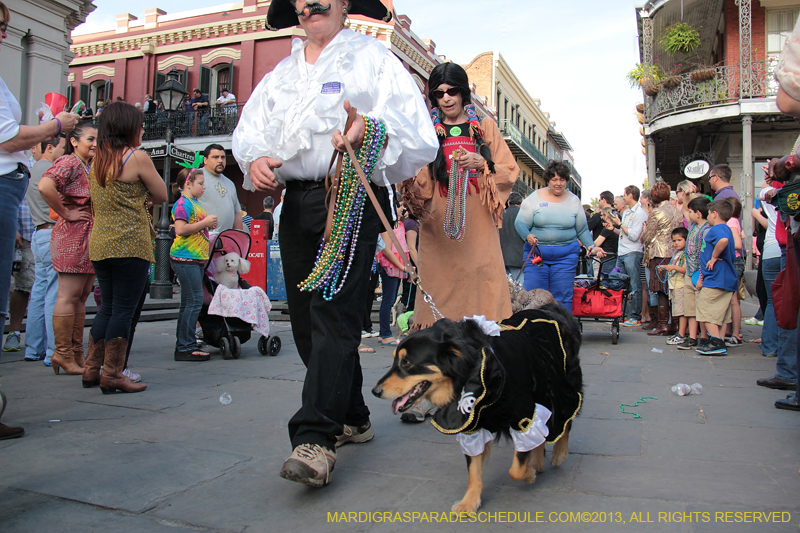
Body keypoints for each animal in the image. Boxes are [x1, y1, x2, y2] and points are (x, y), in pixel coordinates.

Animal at [372, 304, 584, 512]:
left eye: (407, 362)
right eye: (394, 361)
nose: (375, 391)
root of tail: (552, 309)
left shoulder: (524, 417)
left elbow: (516, 469)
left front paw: (529, 473)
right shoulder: (470, 425)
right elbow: (474, 469)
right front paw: (469, 502)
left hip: (560, 385)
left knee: (566, 420)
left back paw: (558, 454)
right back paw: (538, 461)